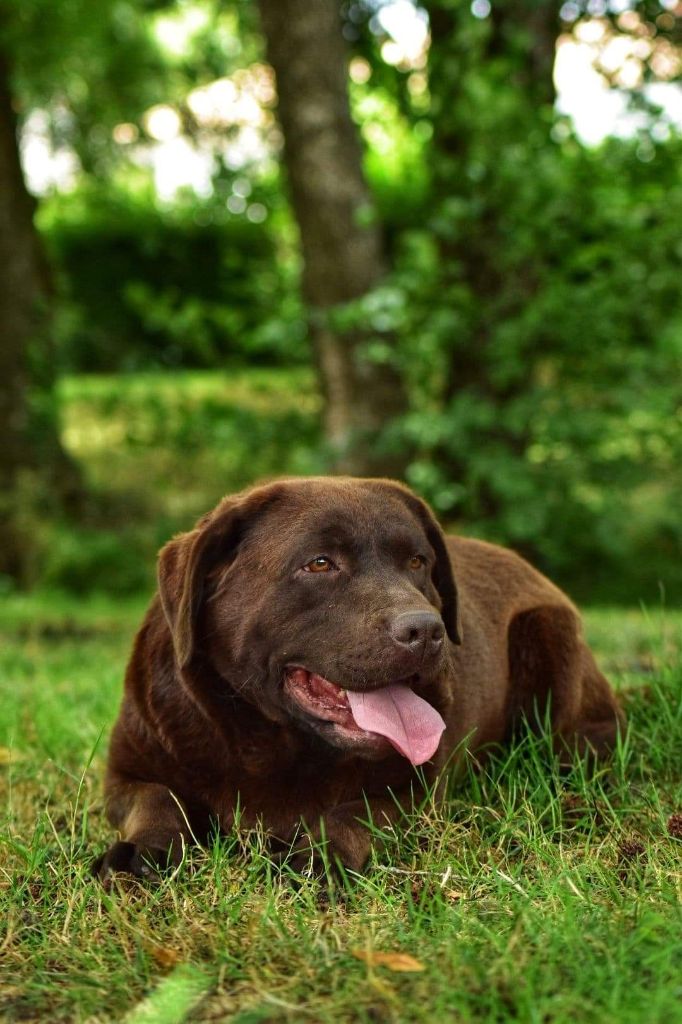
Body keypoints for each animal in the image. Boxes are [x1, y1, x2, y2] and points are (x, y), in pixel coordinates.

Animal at [95, 475, 622, 876]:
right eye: (320, 563)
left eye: (418, 561)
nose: (426, 630)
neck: (269, 745)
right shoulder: (126, 772)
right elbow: (159, 799)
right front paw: (139, 853)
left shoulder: (413, 789)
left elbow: (352, 813)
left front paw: (316, 859)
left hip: (552, 640)